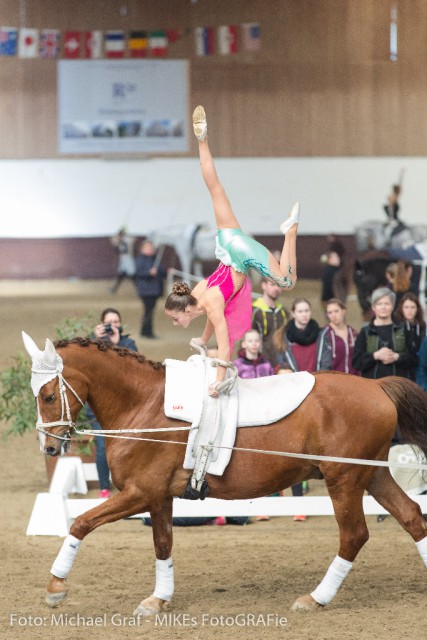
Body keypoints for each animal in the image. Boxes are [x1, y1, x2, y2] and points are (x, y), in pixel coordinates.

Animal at [22, 336, 427, 616]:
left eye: (47, 396)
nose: (49, 449)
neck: (144, 404)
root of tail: (375, 385)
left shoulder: (140, 492)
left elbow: (80, 522)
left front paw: (55, 587)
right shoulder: (159, 496)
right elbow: (163, 543)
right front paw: (158, 599)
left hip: (343, 479)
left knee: (354, 535)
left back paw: (315, 598)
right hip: (371, 475)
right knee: (412, 517)